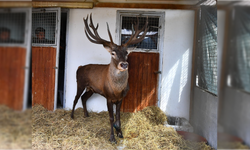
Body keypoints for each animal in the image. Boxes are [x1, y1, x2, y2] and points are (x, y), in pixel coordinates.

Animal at [70, 13, 148, 143]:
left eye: (126, 52)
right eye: (113, 53)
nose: (124, 64)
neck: (117, 90)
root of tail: (79, 67)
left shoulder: (121, 98)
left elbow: (118, 116)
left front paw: (120, 133)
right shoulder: (108, 97)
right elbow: (111, 117)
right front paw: (112, 138)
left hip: (91, 89)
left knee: (83, 98)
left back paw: (86, 114)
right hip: (80, 83)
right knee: (76, 98)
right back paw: (71, 116)